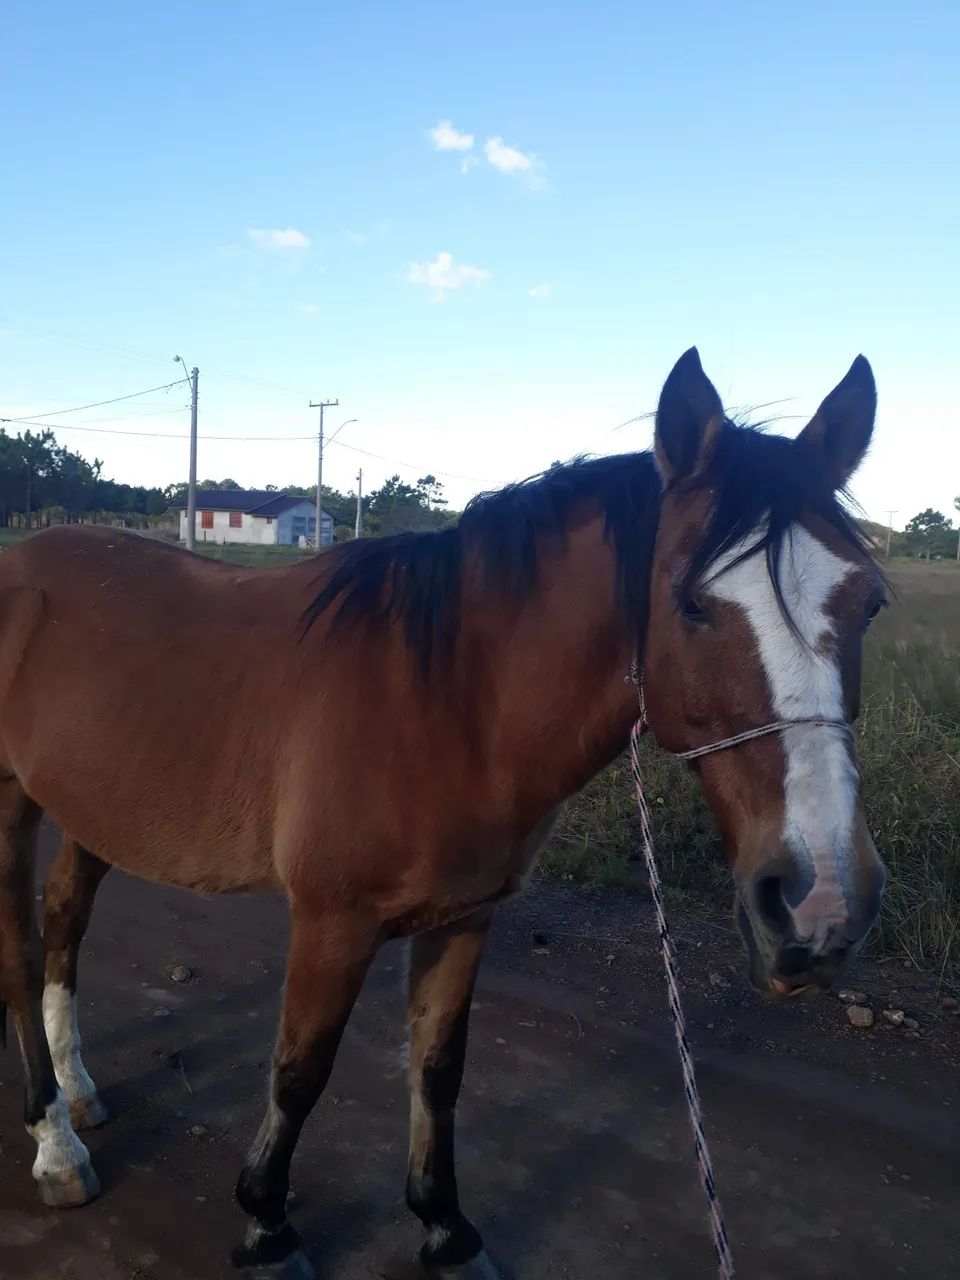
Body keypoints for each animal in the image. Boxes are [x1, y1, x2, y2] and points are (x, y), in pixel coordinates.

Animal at [0, 348, 886, 1278]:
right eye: (691, 603)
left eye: (871, 603)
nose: (824, 905)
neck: (449, 702)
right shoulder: (332, 921)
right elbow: (299, 1071)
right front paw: (266, 1227)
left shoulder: (465, 917)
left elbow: (437, 1069)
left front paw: (445, 1228)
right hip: (13, 801)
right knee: (21, 955)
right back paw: (55, 1143)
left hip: (97, 808)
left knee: (65, 922)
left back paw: (78, 1089)